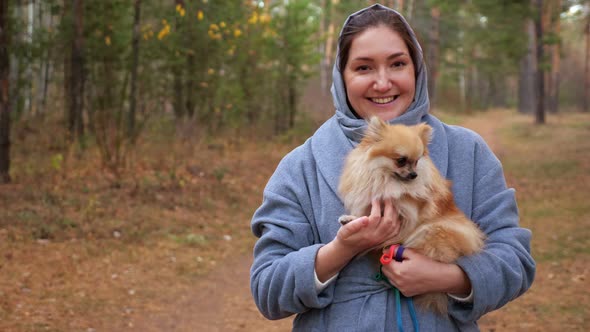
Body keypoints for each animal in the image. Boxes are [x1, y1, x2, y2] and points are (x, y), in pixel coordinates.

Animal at [338, 116, 486, 314]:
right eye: (401, 160)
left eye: (416, 161)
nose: (414, 174)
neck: (386, 178)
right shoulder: (372, 200)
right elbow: (366, 214)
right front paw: (351, 219)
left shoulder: (409, 213)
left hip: (435, 230)